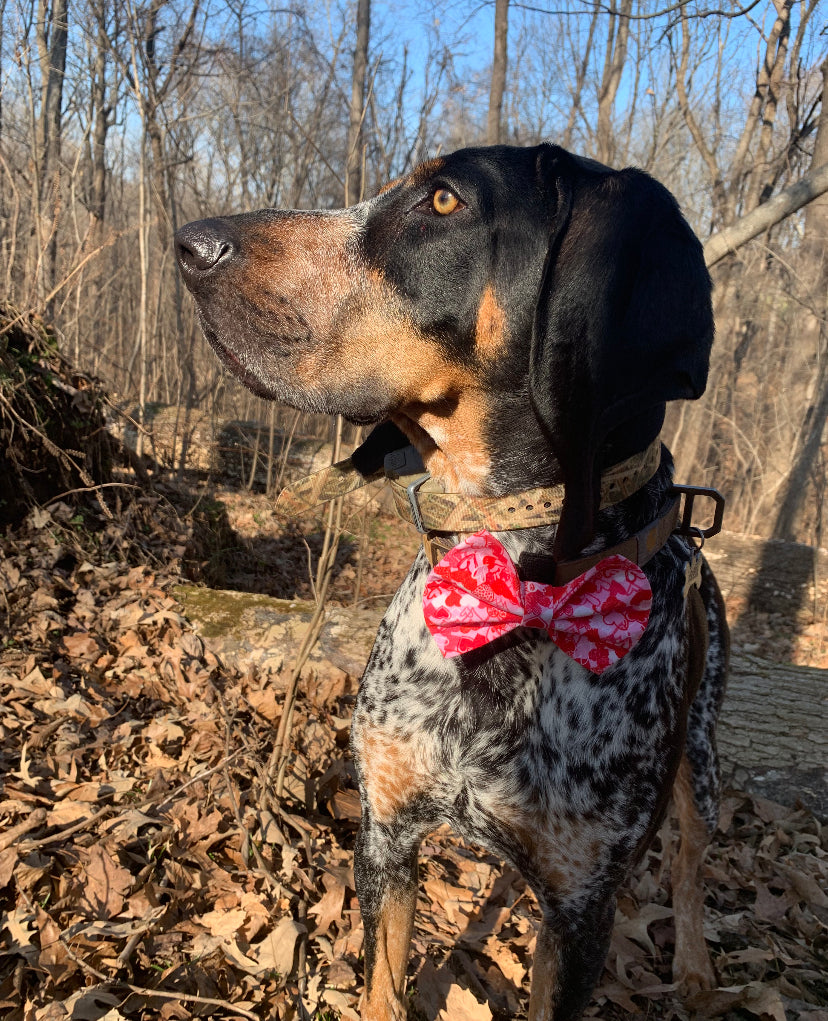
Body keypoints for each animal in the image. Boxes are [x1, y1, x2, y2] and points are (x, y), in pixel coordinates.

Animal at [176, 143, 731, 1021]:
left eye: (443, 201)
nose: (189, 243)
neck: (508, 574)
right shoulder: (385, 840)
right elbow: (382, 990)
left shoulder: (580, 914)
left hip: (700, 759)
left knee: (689, 858)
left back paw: (699, 967)